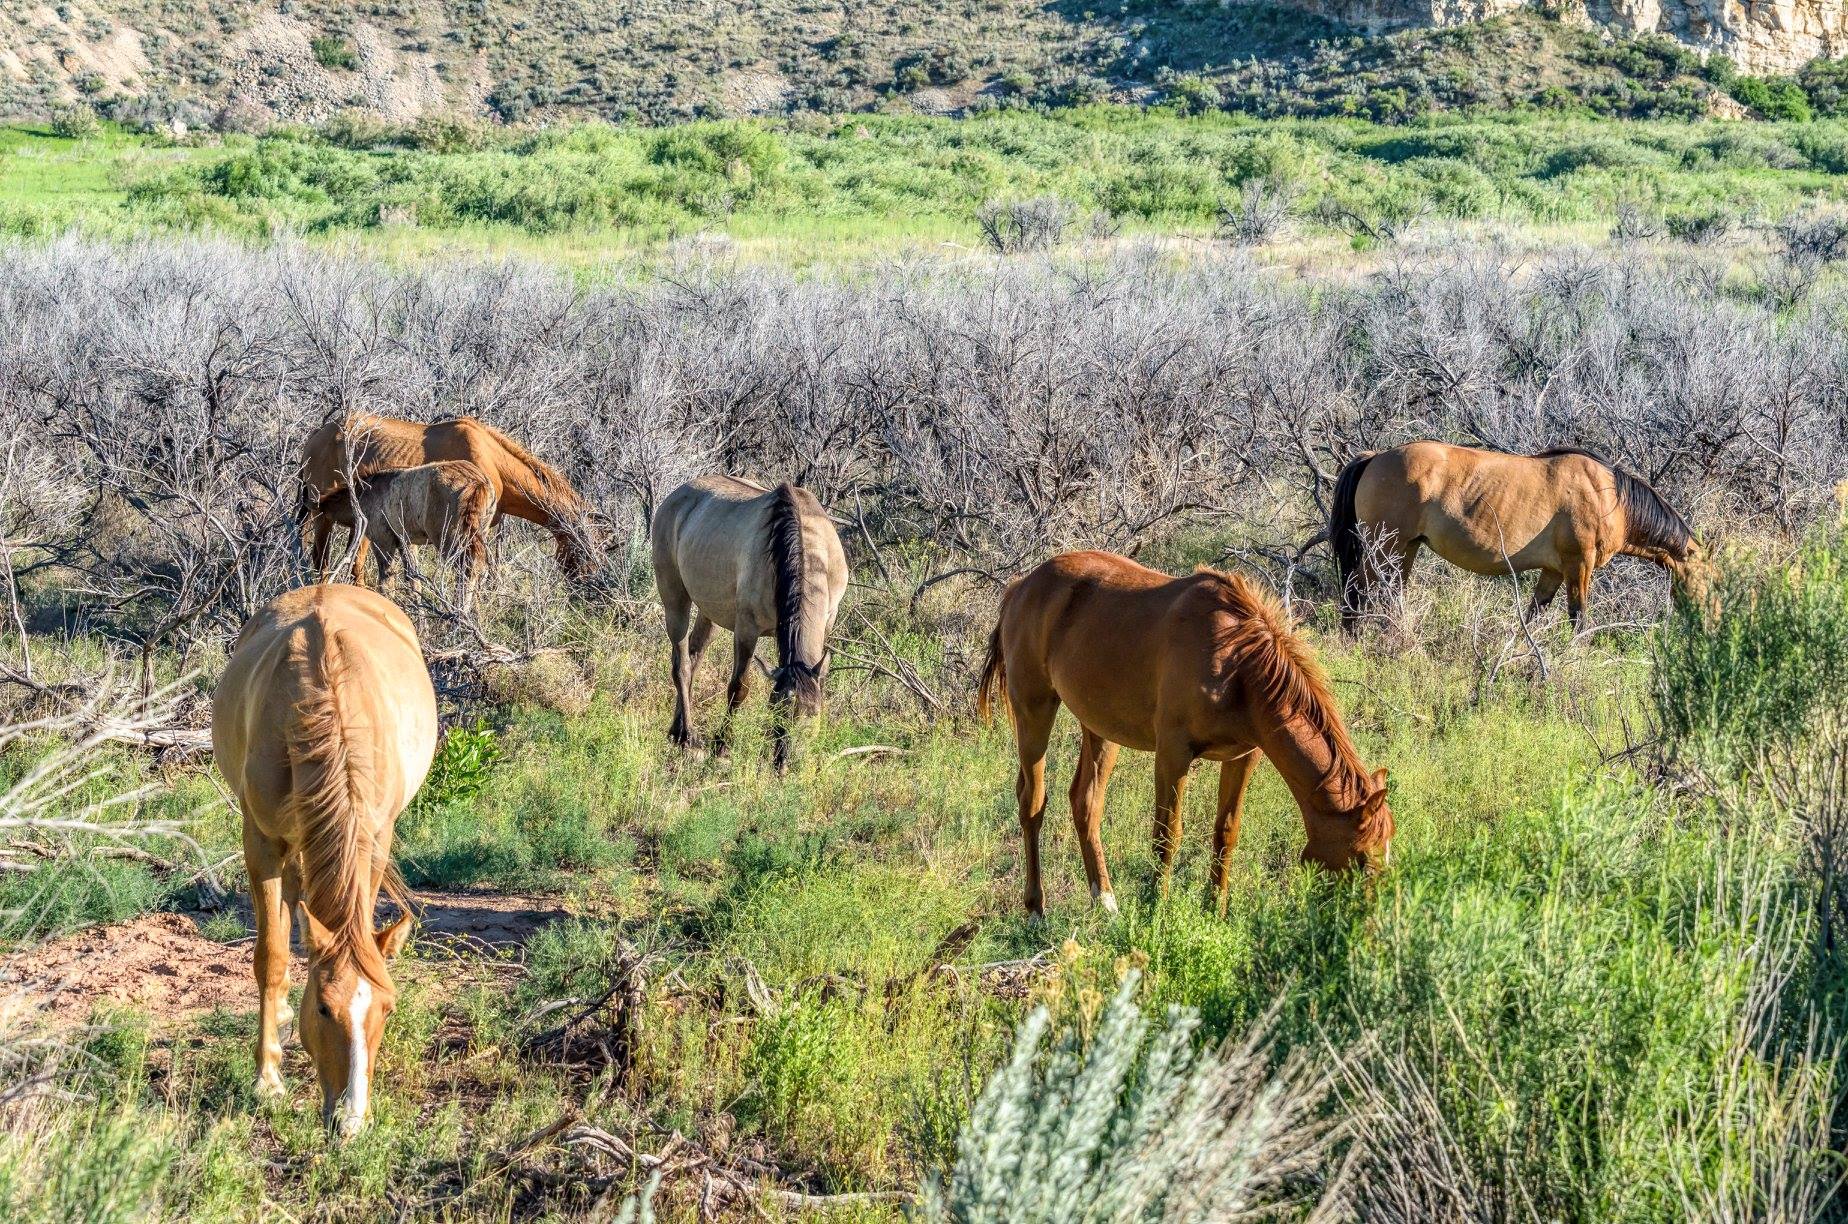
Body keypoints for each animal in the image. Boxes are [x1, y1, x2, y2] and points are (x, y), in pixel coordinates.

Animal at [211, 587, 437, 1138]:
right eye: (323, 1009)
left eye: (388, 1009)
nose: (351, 1123)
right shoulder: (261, 841)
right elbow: (270, 955)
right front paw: (267, 1078)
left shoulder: (375, 837)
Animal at [295, 414, 598, 584]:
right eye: (585, 545)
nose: (587, 585)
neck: (491, 458)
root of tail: (317, 436)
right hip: (322, 516)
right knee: (321, 562)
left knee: (355, 566)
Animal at [654, 477, 846, 772]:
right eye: (776, 710)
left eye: (812, 714)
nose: (785, 764)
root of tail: (677, 495)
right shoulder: (746, 629)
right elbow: (738, 687)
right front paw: (722, 747)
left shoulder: (828, 621)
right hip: (675, 601)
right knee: (682, 666)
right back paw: (689, 739)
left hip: (709, 613)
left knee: (695, 657)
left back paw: (677, 731)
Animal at [983, 550, 1389, 917]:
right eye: (1363, 858)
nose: (1369, 923)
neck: (1235, 665)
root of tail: (1021, 586)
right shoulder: (1173, 755)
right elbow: (1167, 836)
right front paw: (1157, 912)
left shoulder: (1243, 757)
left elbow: (1226, 832)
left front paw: (1215, 911)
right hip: (1034, 711)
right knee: (1032, 802)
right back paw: (1036, 909)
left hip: (1100, 729)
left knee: (1085, 803)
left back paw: (1106, 902)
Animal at [1330, 441, 1700, 632]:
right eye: (1705, 578)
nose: (1705, 624)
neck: (1608, 496)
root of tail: (1375, 457)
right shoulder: (1579, 566)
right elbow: (1578, 618)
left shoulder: (1553, 571)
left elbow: (1534, 614)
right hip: (1383, 547)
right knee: (1358, 590)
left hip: (1404, 550)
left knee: (1389, 593)